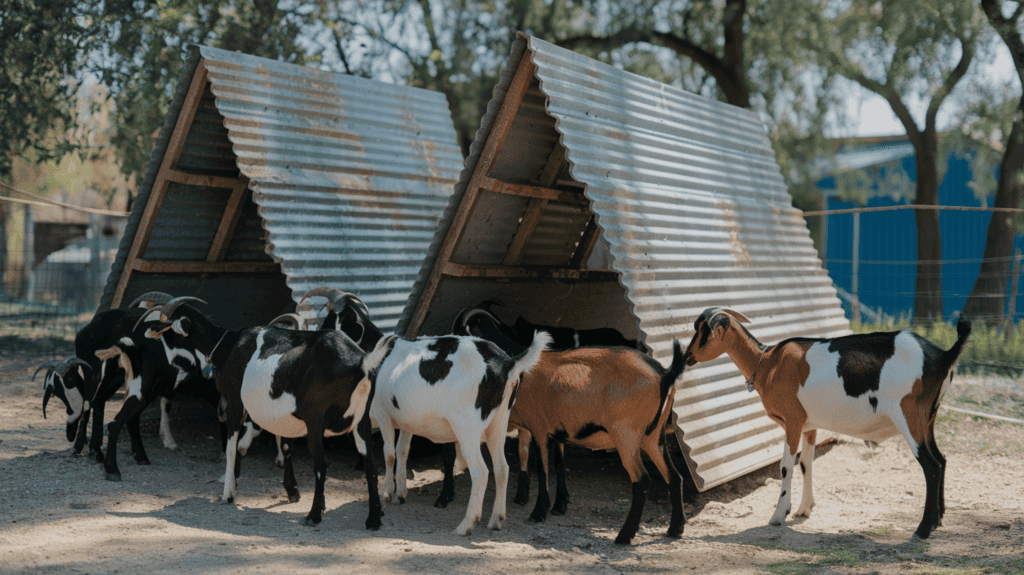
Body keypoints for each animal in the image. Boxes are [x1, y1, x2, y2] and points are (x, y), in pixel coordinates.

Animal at [142, 296, 382, 529]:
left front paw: (228, 493)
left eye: (167, 325)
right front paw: (292, 491)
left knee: (321, 464)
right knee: (370, 464)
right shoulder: (284, 415)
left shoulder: (235, 403)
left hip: (316, 420)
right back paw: (373, 519)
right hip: (362, 420)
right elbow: (285, 446)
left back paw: (313, 516)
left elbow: (232, 447)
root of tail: (362, 363)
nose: (151, 334)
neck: (227, 345)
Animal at [363, 330, 550, 536]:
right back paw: (496, 520)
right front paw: (400, 494)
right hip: (498, 423)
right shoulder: (407, 421)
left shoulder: (383, 414)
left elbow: (389, 455)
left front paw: (386, 493)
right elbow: (402, 451)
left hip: (467, 427)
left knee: (481, 471)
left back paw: (466, 525)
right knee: (502, 468)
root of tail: (507, 362)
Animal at [456, 308, 687, 544]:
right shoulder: (557, 431)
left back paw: (624, 536)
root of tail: (664, 375)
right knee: (674, 476)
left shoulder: (539, 429)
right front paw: (559, 505)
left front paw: (538, 512)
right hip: (654, 437)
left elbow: (542, 469)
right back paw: (675, 528)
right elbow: (559, 464)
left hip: (627, 435)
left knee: (642, 480)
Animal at [684, 307, 971, 539]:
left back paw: (922, 529)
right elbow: (806, 462)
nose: (686, 356)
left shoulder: (792, 421)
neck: (768, 363)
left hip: (909, 414)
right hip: (927, 418)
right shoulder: (809, 424)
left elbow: (785, 467)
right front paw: (804, 509)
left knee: (931, 466)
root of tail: (944, 355)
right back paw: (938, 521)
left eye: (703, 331)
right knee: (942, 460)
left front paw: (778, 515)